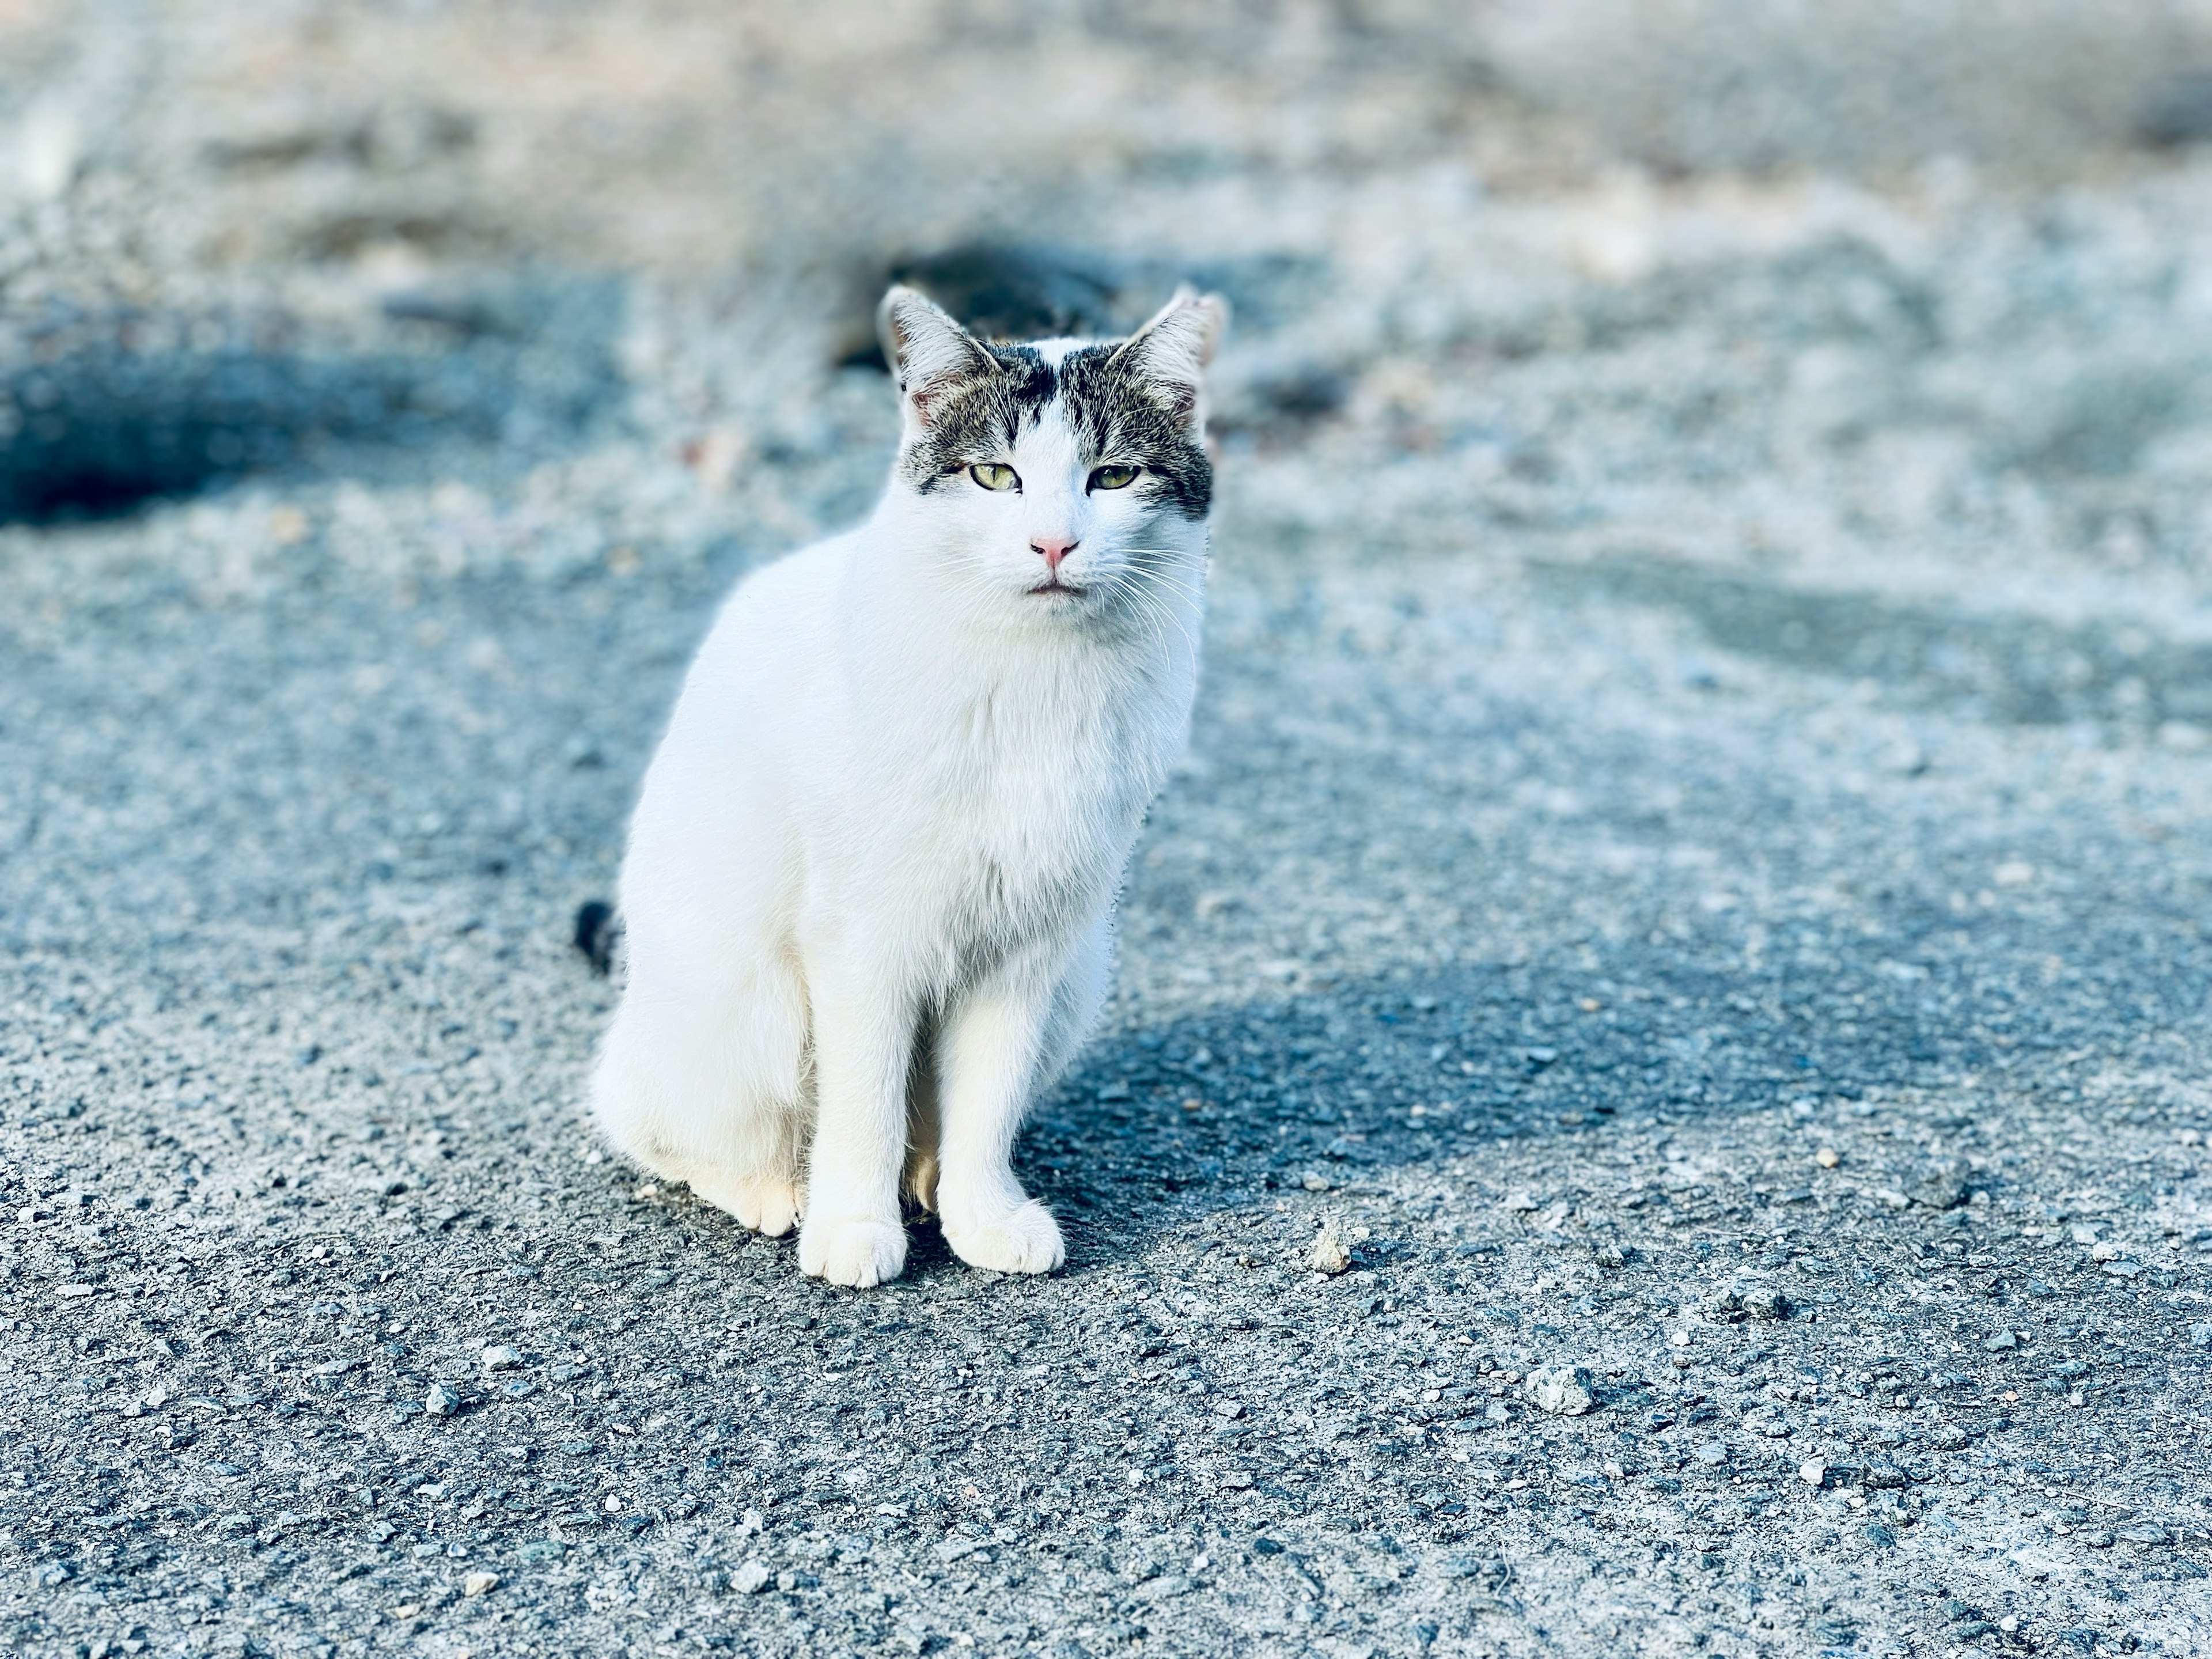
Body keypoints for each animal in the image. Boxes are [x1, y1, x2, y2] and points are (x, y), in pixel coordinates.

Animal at [588, 285, 1230, 1291]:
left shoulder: (1030, 946)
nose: (1054, 543)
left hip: (1081, 976)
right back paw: (778, 1193)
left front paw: (982, 1215)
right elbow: (864, 1104)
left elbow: (986, 1103)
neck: (1036, 683)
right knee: (658, 1124)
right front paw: (854, 1228)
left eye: (1116, 477)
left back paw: (925, 1184)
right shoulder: (863, 944)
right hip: (744, 1004)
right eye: (996, 476)